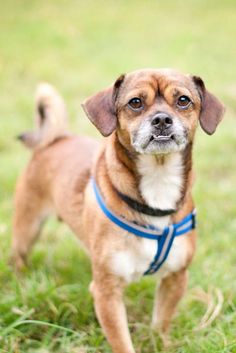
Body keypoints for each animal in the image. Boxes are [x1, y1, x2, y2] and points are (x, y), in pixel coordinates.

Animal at [11, 69, 225, 352]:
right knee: (18, 259)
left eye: (183, 100)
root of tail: (56, 139)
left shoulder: (175, 279)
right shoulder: (107, 292)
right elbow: (122, 342)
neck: (158, 179)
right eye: (135, 103)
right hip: (27, 229)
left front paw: (159, 343)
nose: (162, 119)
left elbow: (160, 325)